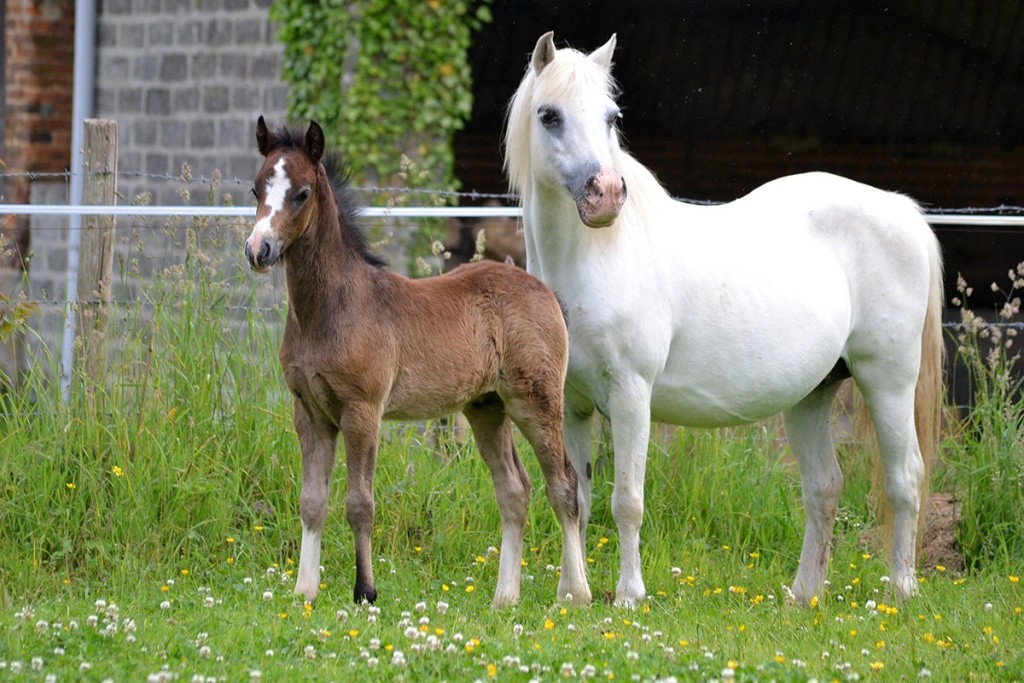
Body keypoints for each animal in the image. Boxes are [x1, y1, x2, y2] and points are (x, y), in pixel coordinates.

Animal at [503, 33, 942, 610]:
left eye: (611, 117)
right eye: (549, 115)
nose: (607, 194)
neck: (597, 258)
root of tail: (902, 211)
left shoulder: (631, 395)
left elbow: (627, 501)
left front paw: (628, 596)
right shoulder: (573, 405)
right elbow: (576, 494)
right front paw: (572, 595)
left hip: (887, 381)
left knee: (904, 479)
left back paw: (902, 591)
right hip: (812, 396)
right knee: (824, 488)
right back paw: (803, 595)